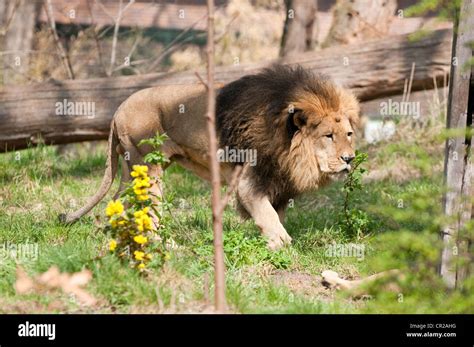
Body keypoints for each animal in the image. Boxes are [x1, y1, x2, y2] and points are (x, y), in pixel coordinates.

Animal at [61, 65, 362, 250]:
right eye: (328, 136)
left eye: (348, 134)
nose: (349, 159)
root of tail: (118, 109)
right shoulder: (248, 182)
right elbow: (268, 216)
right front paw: (280, 244)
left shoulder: (278, 184)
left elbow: (276, 214)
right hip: (148, 167)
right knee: (147, 208)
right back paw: (165, 245)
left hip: (131, 168)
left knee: (119, 202)